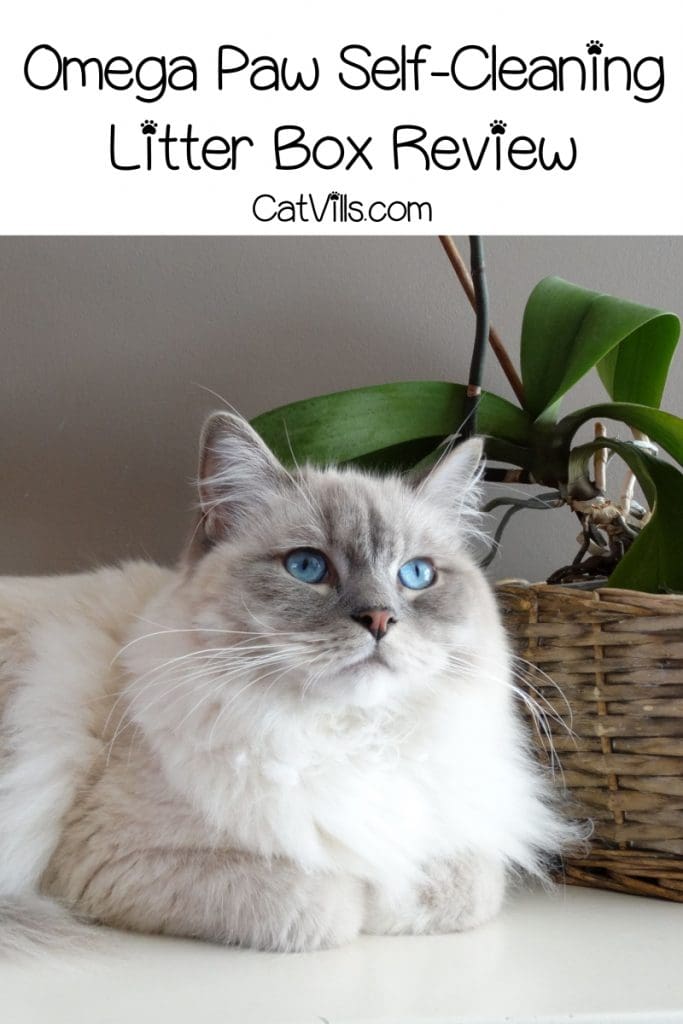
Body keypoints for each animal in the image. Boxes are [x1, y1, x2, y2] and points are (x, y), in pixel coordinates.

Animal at [0, 411, 577, 954]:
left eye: (416, 575)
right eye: (307, 567)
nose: (379, 620)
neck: (348, 739)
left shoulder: (461, 855)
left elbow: (457, 886)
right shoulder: (110, 860)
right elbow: (333, 902)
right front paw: (368, 898)